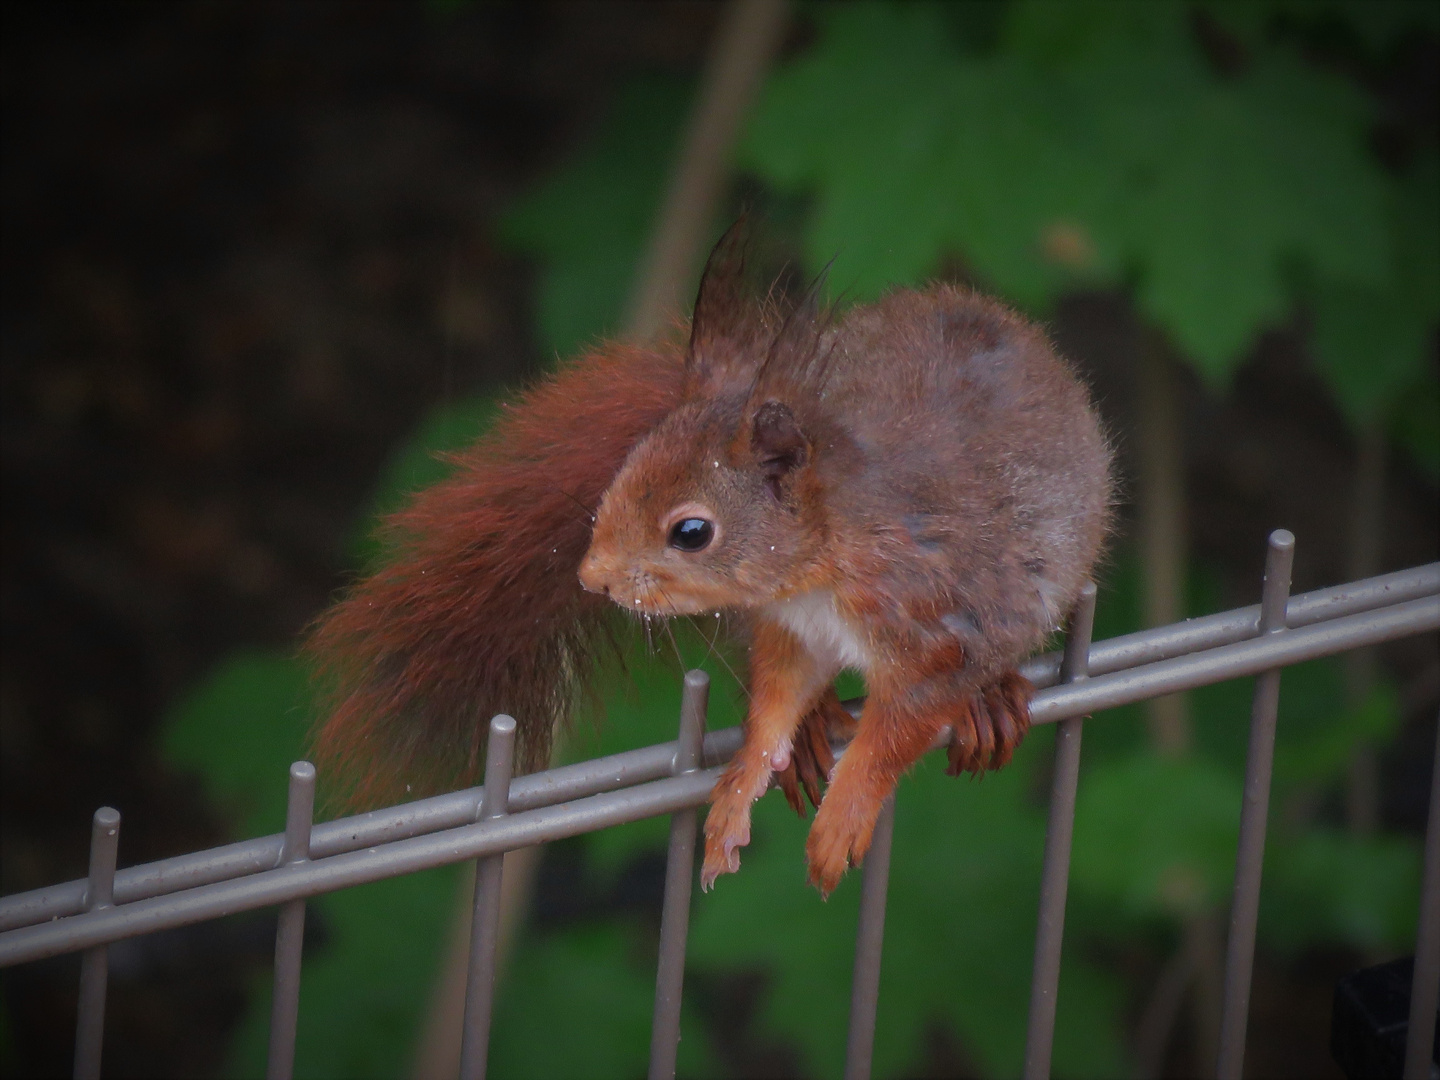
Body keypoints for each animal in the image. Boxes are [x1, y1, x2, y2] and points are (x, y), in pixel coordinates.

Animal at [309, 224, 1105, 898]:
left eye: (692, 532)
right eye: (624, 469)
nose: (592, 578)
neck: (824, 562)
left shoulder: (940, 625)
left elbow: (892, 737)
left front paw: (843, 821)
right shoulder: (792, 630)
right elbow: (773, 703)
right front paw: (740, 792)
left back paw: (991, 704)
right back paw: (817, 730)